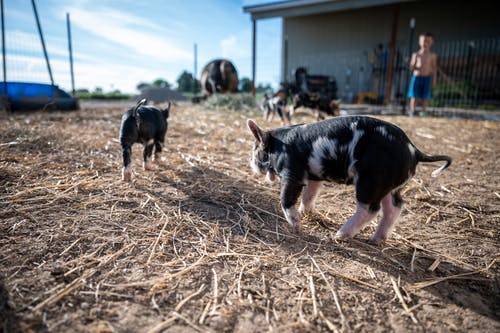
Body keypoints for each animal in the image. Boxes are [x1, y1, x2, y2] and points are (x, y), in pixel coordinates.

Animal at [248, 115, 452, 243]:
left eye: (255, 150)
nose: (250, 163)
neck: (277, 146)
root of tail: (414, 150)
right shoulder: (313, 176)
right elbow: (309, 195)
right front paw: (305, 213)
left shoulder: (293, 173)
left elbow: (286, 200)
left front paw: (297, 226)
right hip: (390, 185)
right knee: (394, 207)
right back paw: (375, 240)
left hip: (371, 179)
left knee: (370, 209)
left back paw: (340, 235)